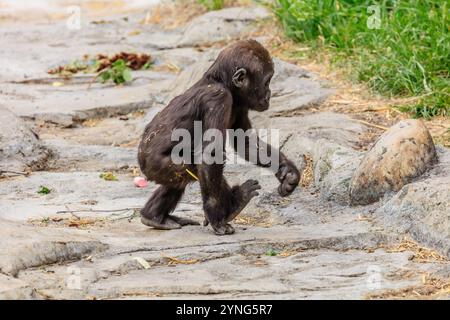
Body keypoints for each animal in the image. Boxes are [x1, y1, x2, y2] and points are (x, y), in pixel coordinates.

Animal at [137, 39, 298, 235]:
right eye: (267, 82)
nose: (269, 95)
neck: (222, 82)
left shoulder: (240, 104)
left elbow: (245, 142)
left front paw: (288, 172)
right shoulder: (218, 98)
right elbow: (211, 154)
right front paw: (216, 217)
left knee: (178, 181)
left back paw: (153, 216)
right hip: (156, 164)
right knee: (193, 168)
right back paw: (234, 205)